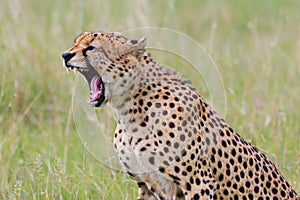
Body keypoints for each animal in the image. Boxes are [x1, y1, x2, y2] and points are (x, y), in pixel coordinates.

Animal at [62, 30, 298, 199]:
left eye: (91, 48)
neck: (130, 110)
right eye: (75, 43)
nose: (65, 55)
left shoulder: (199, 183)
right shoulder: (146, 184)